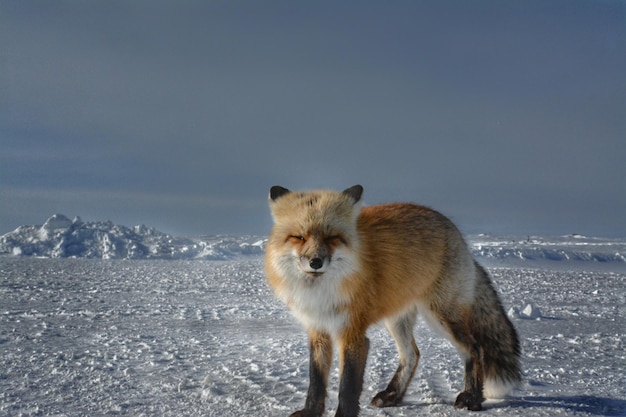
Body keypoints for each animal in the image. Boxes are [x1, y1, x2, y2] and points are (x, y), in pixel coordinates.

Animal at [266, 186, 520, 416]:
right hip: (397, 320)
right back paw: (392, 395)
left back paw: (472, 398)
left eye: (332, 238)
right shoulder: (318, 330)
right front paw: (310, 412)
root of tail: (458, 235)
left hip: (441, 317)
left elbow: (347, 387)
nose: (316, 262)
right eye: (299, 237)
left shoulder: (353, 334)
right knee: (412, 355)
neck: (320, 293)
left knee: (475, 348)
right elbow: (316, 382)